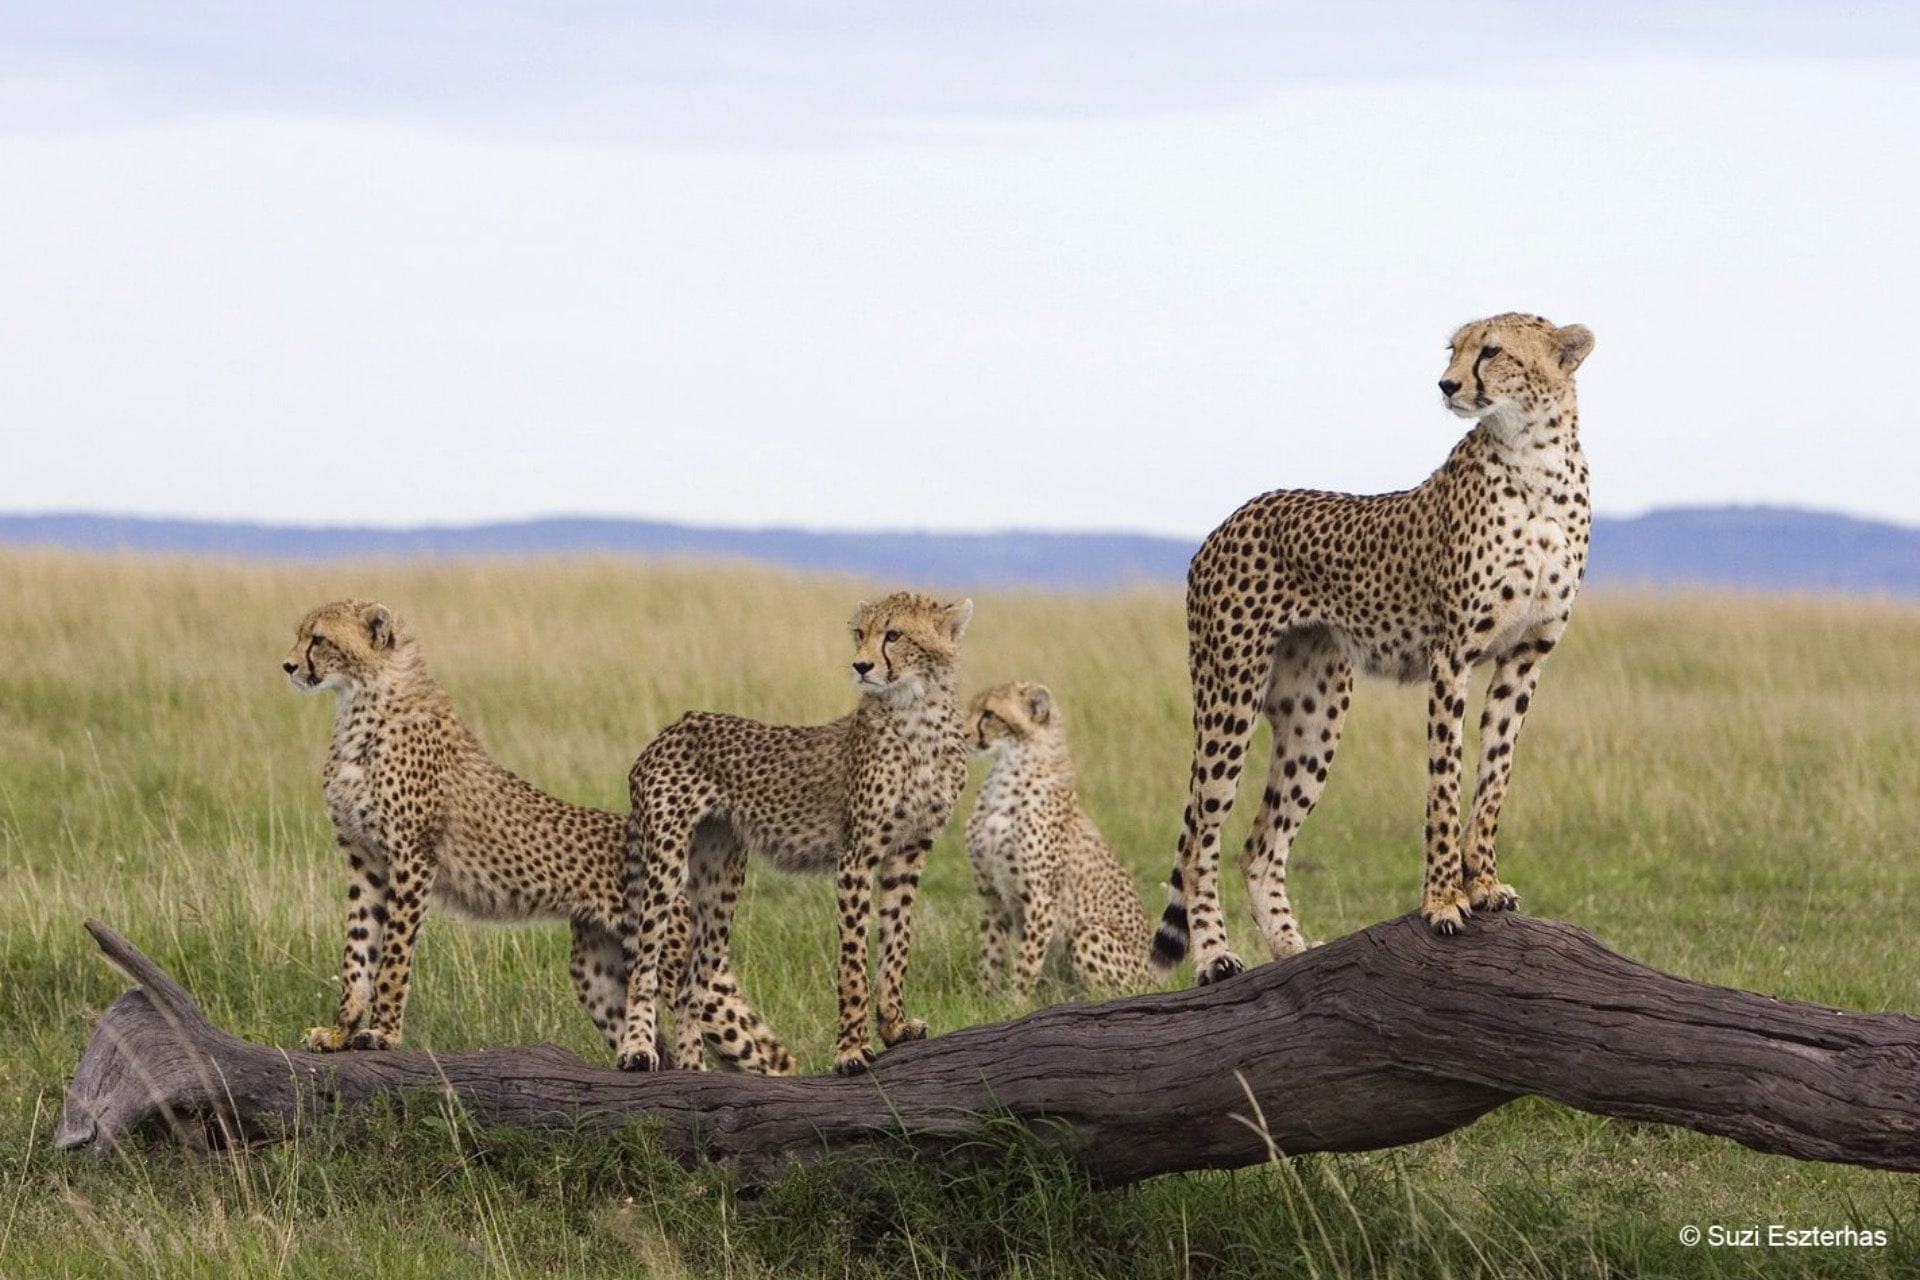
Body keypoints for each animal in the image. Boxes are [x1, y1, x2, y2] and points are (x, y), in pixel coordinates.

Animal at [284, 598, 692, 1056]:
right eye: (302, 635)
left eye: (318, 639)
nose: (288, 665)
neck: (360, 701)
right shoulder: (365, 861)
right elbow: (357, 951)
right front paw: (340, 1031)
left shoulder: (412, 859)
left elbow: (393, 957)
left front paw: (382, 1033)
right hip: (596, 972)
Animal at [616, 591, 973, 1077]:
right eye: (861, 633)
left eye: (894, 634)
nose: (861, 665)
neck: (918, 711)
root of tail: (672, 728)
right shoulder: (857, 856)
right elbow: (854, 960)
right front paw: (851, 1050)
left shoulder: (909, 851)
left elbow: (896, 943)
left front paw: (895, 1025)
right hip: (667, 862)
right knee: (645, 964)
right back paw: (636, 1048)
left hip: (720, 880)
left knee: (693, 986)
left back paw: (694, 1073)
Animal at [964, 681, 1153, 997]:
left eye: (988, 714)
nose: (962, 734)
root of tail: (1154, 978)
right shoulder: (991, 892)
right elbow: (990, 952)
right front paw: (983, 998)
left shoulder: (1041, 898)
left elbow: (1026, 961)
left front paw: (1014, 1002)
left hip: (1090, 934)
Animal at [1151, 312, 1596, 985]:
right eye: (1454, 349)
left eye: (1491, 351)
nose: (1446, 384)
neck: (1534, 458)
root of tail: (1234, 515)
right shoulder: (1452, 656)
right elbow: (1444, 783)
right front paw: (1443, 900)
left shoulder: (1526, 656)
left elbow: (1494, 778)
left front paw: (1485, 884)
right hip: (1229, 695)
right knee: (1202, 834)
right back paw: (1213, 955)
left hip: (1315, 716)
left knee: (1259, 846)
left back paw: (1294, 953)